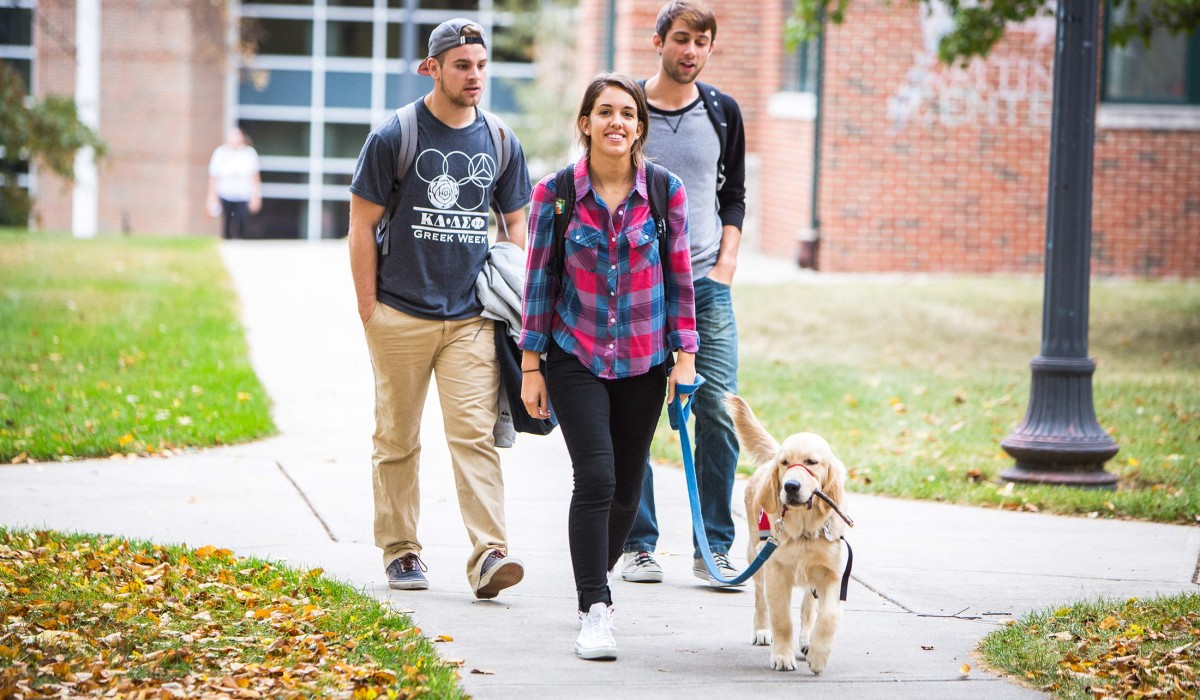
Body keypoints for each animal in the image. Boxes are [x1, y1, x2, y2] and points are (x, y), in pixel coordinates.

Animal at [724, 393, 849, 672]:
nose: (791, 486)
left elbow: (828, 616)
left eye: (811, 462)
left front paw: (818, 655)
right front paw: (782, 656)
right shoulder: (777, 571)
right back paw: (761, 630)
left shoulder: (831, 574)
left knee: (807, 607)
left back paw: (806, 641)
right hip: (757, 557)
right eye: (785, 463)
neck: (804, 530)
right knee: (760, 597)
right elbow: (781, 618)